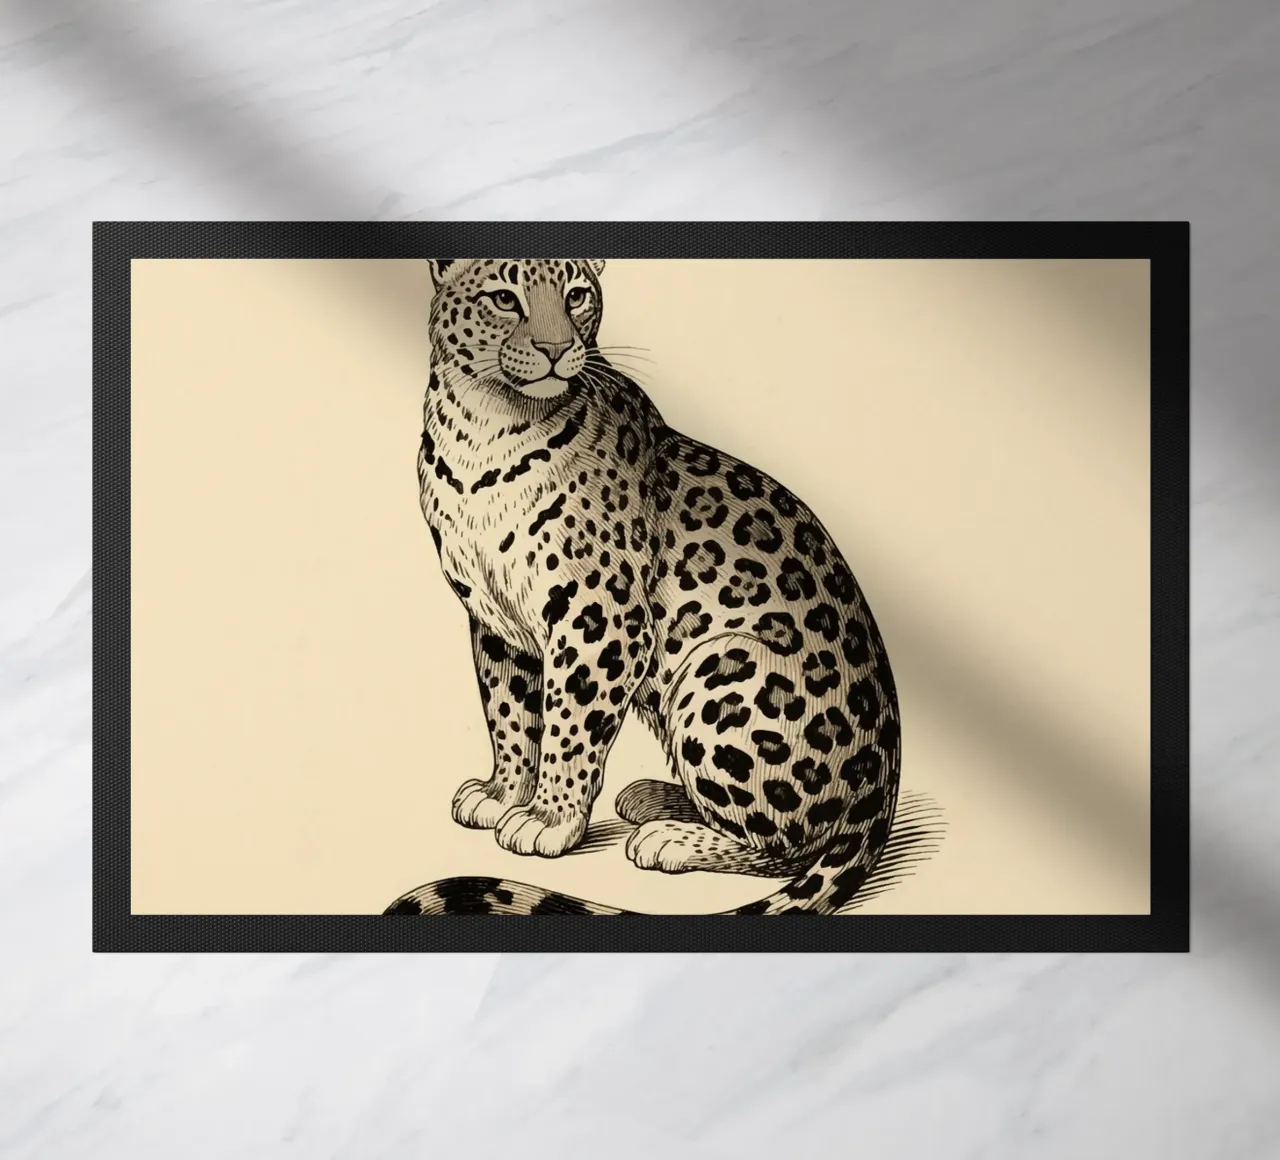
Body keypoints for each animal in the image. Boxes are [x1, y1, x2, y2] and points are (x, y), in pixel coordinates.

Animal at [384, 257, 901, 916]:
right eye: (504, 299)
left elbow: (570, 724)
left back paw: (668, 836)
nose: (557, 350)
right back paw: (654, 797)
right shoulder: (495, 620)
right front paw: (504, 793)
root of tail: (880, 798)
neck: (485, 429)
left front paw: (549, 819)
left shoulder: (601, 619)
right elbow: (509, 712)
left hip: (723, 672)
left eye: (577, 296)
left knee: (787, 844)